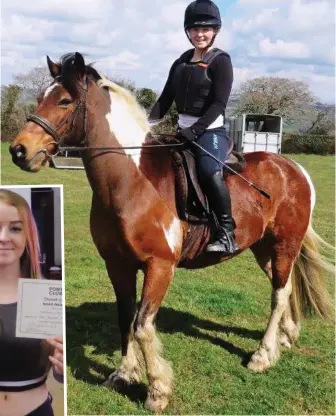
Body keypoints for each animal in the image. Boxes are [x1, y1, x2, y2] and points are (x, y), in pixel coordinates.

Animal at [9, 52, 332, 412]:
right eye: (41, 97)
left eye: (65, 100)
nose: (19, 150)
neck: (131, 182)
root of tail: (294, 168)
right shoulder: (117, 265)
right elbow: (125, 318)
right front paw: (123, 374)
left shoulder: (160, 266)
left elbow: (142, 325)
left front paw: (157, 391)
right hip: (264, 249)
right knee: (285, 288)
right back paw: (285, 338)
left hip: (284, 244)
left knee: (278, 294)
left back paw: (262, 356)